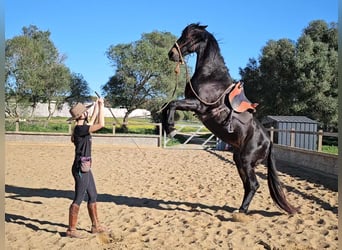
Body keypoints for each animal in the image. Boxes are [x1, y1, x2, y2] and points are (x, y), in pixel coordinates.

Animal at [162, 23, 298, 214]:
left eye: (190, 36)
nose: (172, 53)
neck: (210, 76)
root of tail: (269, 142)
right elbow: (168, 105)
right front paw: (166, 126)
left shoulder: (200, 105)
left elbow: (172, 104)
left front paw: (171, 129)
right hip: (239, 160)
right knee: (248, 185)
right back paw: (241, 209)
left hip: (246, 160)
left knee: (254, 184)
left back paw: (241, 212)